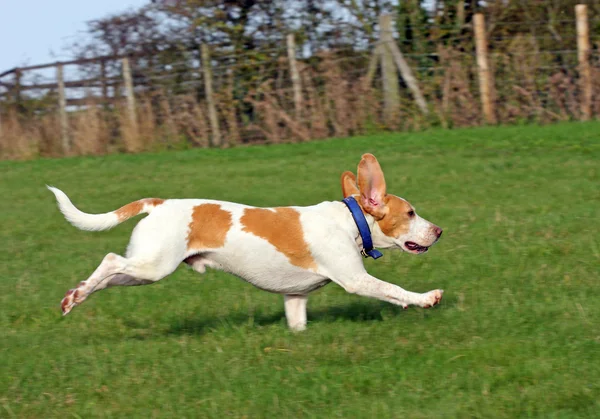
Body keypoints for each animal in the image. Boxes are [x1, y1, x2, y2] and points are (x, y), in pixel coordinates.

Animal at [49, 154, 442, 332]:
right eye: (411, 213)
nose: (438, 231)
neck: (351, 220)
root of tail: (158, 204)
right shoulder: (356, 280)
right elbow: (394, 290)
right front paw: (426, 299)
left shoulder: (295, 297)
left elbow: (297, 323)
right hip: (153, 266)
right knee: (109, 259)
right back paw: (76, 294)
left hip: (143, 270)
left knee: (104, 278)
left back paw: (75, 296)